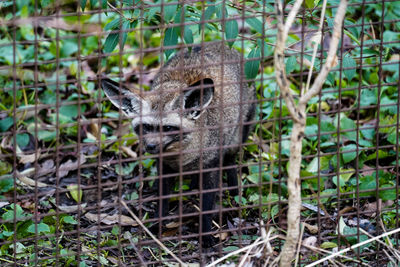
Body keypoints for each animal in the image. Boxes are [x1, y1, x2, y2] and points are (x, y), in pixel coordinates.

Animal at [100, 43, 256, 248]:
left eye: (168, 128)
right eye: (146, 127)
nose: (150, 147)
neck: (181, 156)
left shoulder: (210, 165)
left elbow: (206, 207)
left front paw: (205, 235)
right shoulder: (164, 165)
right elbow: (163, 200)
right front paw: (157, 225)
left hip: (236, 138)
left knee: (230, 160)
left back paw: (233, 190)